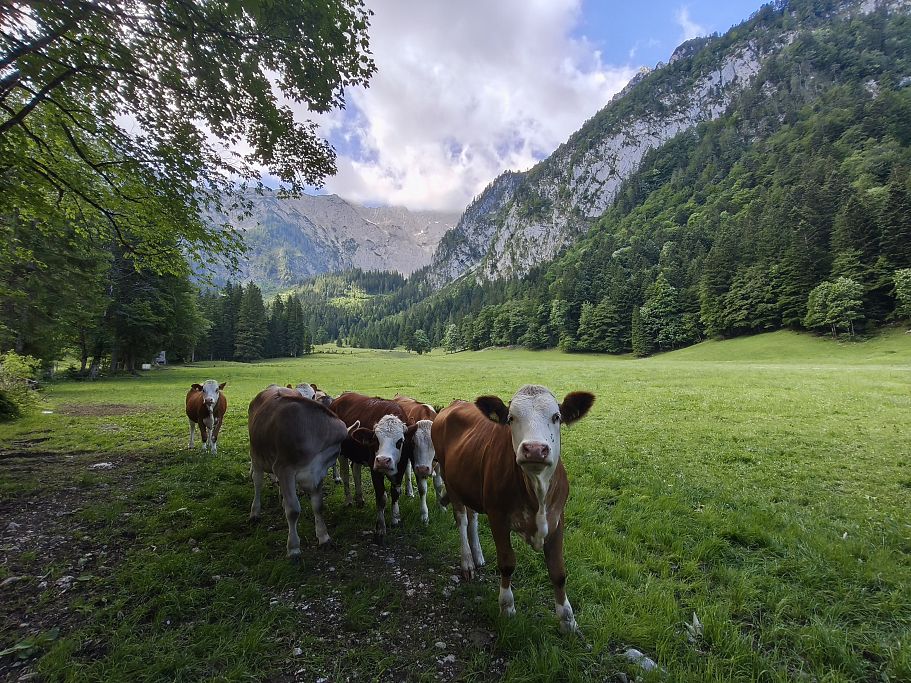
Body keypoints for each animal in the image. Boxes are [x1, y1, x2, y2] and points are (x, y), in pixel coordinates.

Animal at [247, 385, 355, 559]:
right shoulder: (284, 469)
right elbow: (293, 510)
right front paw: (293, 548)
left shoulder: (317, 473)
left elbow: (318, 506)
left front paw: (324, 537)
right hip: (256, 455)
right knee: (257, 482)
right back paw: (255, 513)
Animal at [330, 392, 418, 542]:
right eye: (376, 440)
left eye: (400, 441)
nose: (383, 460)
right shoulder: (375, 469)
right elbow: (381, 497)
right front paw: (381, 528)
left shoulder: (401, 467)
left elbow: (395, 492)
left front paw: (395, 518)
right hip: (342, 452)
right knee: (345, 474)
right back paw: (349, 500)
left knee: (355, 469)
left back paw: (359, 498)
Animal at [393, 395, 438, 523]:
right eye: (413, 443)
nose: (423, 469)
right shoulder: (416, 463)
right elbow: (422, 489)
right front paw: (424, 516)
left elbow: (439, 484)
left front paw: (442, 507)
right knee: (407, 470)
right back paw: (409, 491)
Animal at [432, 385, 595, 634]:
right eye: (511, 418)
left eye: (556, 417)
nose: (535, 449)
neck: (537, 491)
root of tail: (454, 404)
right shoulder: (497, 516)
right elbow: (507, 563)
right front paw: (507, 608)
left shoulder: (558, 519)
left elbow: (558, 572)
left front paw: (568, 620)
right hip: (451, 482)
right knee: (462, 520)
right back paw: (467, 560)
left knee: (473, 517)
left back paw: (478, 555)